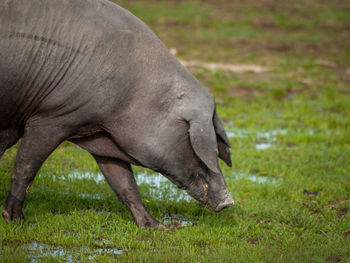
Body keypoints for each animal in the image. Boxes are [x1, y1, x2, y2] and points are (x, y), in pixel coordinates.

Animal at [0, 0, 235, 229]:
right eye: (196, 142)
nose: (228, 201)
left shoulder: (101, 134)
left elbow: (125, 185)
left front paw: (158, 227)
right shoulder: (50, 120)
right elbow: (25, 169)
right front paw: (18, 221)